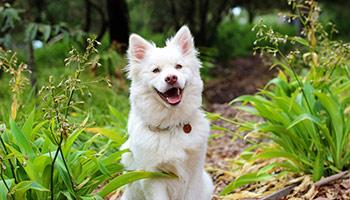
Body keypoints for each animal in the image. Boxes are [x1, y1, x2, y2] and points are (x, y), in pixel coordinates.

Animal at [120, 25, 213, 199]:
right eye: (156, 70)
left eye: (178, 67)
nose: (171, 78)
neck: (171, 125)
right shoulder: (153, 177)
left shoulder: (194, 173)